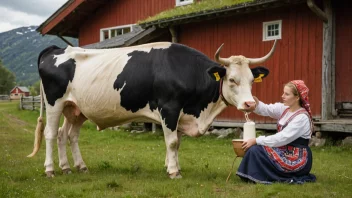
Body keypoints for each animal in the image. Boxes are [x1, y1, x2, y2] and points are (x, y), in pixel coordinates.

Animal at [27, 39, 276, 178]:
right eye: (232, 79)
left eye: (252, 80)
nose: (250, 104)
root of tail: (57, 49)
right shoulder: (169, 108)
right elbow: (172, 141)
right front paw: (174, 171)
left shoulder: (180, 114)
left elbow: (177, 142)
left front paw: (173, 166)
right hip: (55, 103)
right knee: (50, 134)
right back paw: (50, 170)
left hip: (75, 109)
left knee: (67, 135)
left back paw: (73, 167)